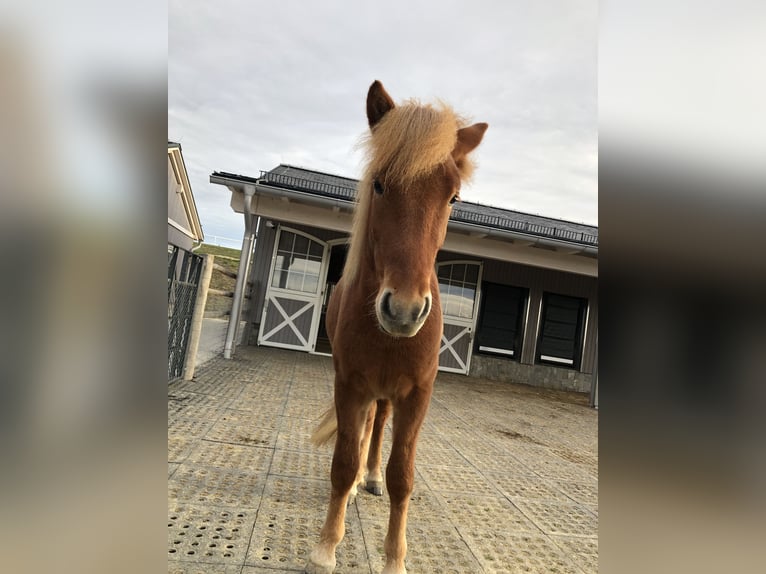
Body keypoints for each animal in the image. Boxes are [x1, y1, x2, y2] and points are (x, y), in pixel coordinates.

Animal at [305, 80, 487, 574]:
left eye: (453, 197)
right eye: (380, 184)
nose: (404, 310)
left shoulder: (417, 396)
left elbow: (401, 476)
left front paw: (394, 559)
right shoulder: (349, 385)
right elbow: (342, 462)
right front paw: (326, 547)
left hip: (390, 395)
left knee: (379, 429)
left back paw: (370, 479)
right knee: (366, 430)